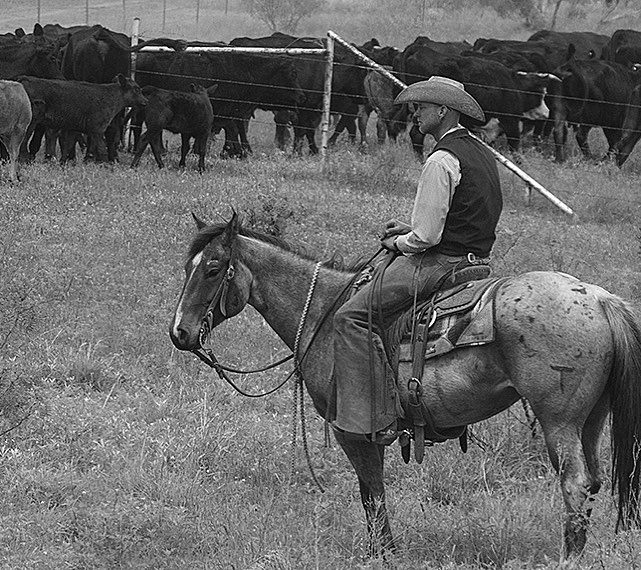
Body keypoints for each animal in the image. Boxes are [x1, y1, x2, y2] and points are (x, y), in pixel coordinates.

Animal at [169, 212, 641, 560]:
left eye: (213, 269)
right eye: (187, 266)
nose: (180, 333)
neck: (325, 312)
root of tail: (600, 298)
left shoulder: (354, 429)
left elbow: (372, 493)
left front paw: (384, 554)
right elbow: (372, 493)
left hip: (558, 421)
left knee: (574, 483)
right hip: (590, 419)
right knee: (593, 482)